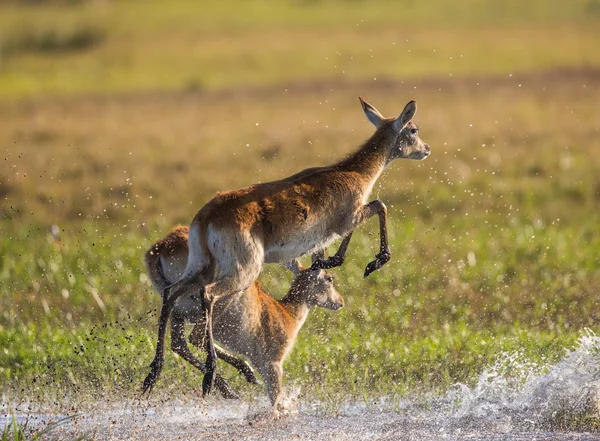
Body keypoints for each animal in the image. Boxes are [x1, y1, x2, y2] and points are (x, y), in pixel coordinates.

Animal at [144, 227, 346, 410]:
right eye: (329, 279)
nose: (340, 302)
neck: (286, 312)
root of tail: (161, 247)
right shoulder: (273, 364)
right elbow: (277, 401)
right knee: (196, 336)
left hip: (177, 310)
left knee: (178, 341)